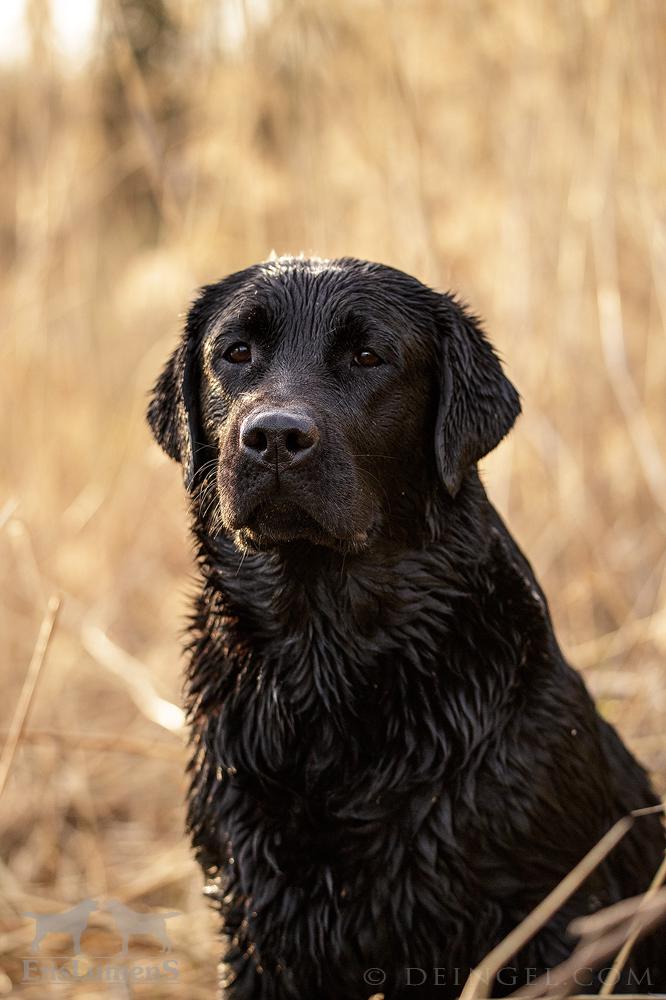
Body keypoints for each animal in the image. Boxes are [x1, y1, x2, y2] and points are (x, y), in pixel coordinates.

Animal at [148, 260, 660, 1000]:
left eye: (369, 356)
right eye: (235, 353)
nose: (273, 437)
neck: (327, 661)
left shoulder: (547, 918)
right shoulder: (256, 921)